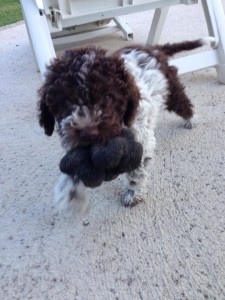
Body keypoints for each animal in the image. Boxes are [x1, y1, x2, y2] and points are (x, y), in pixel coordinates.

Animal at [38, 38, 204, 211]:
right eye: (66, 101)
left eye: (107, 97)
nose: (89, 132)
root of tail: (151, 49)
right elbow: (77, 165)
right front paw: (69, 194)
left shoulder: (141, 139)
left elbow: (136, 170)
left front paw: (133, 193)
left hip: (171, 89)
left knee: (183, 104)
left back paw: (191, 119)